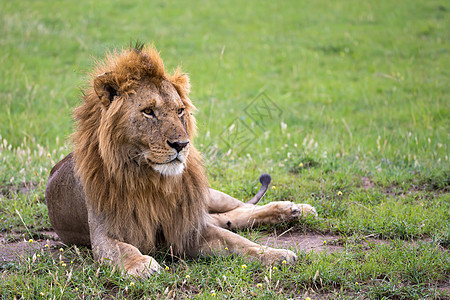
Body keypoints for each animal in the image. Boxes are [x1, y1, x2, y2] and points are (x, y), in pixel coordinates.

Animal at [45, 44, 318, 276]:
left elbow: (239, 241)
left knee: (242, 207)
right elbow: (122, 249)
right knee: (229, 217)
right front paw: (141, 264)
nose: (181, 145)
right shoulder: (103, 233)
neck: (150, 179)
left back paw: (295, 209)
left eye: (179, 111)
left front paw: (276, 254)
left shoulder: (187, 226)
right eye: (148, 111)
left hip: (207, 195)